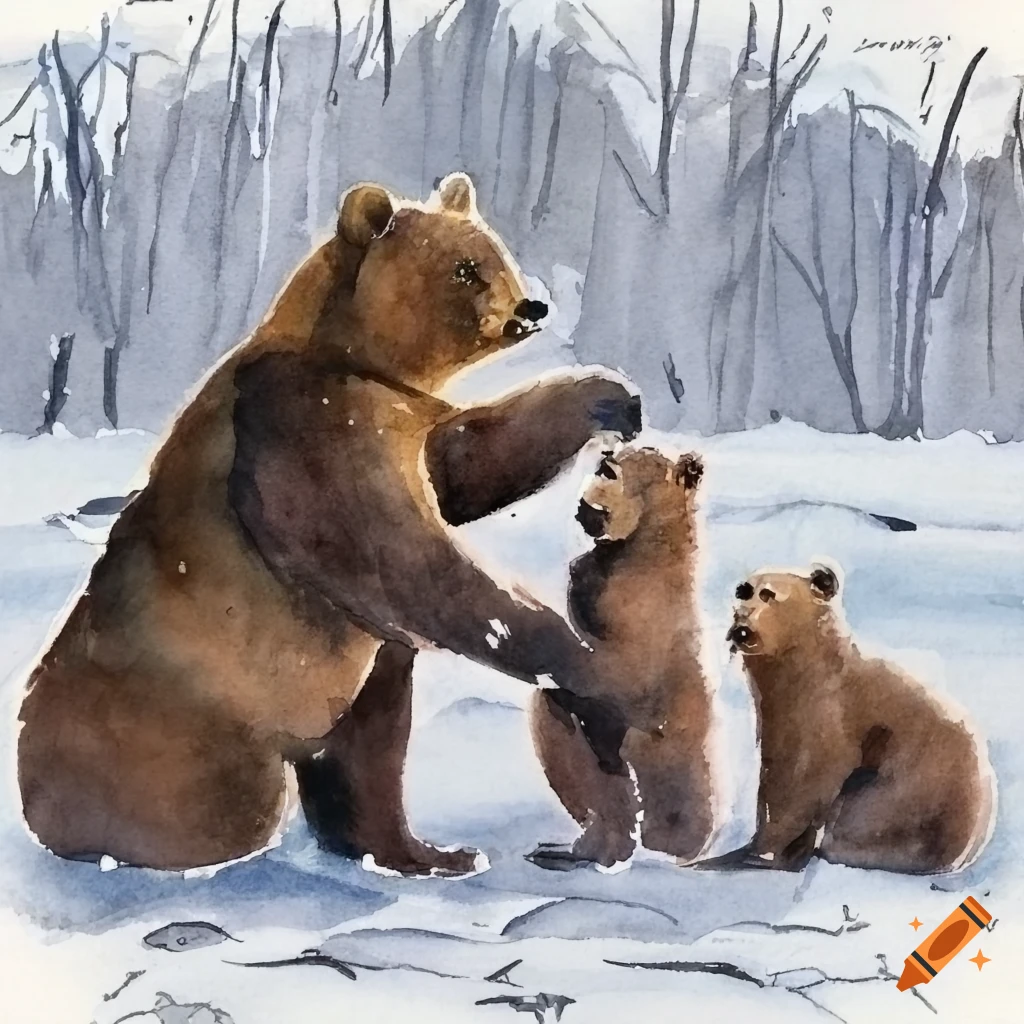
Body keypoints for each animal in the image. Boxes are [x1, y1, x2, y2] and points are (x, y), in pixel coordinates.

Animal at [16, 172, 643, 877]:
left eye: (496, 252)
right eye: (465, 268)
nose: (532, 306)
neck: (353, 354)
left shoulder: (404, 424)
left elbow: (472, 459)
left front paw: (607, 395)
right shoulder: (309, 431)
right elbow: (408, 561)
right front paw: (590, 668)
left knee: (368, 737)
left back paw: (417, 850)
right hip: (184, 724)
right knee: (232, 794)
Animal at [717, 562, 994, 874]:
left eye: (769, 594)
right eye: (744, 591)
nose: (741, 630)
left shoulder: (827, 715)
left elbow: (800, 782)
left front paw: (760, 852)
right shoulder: (777, 711)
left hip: (900, 798)